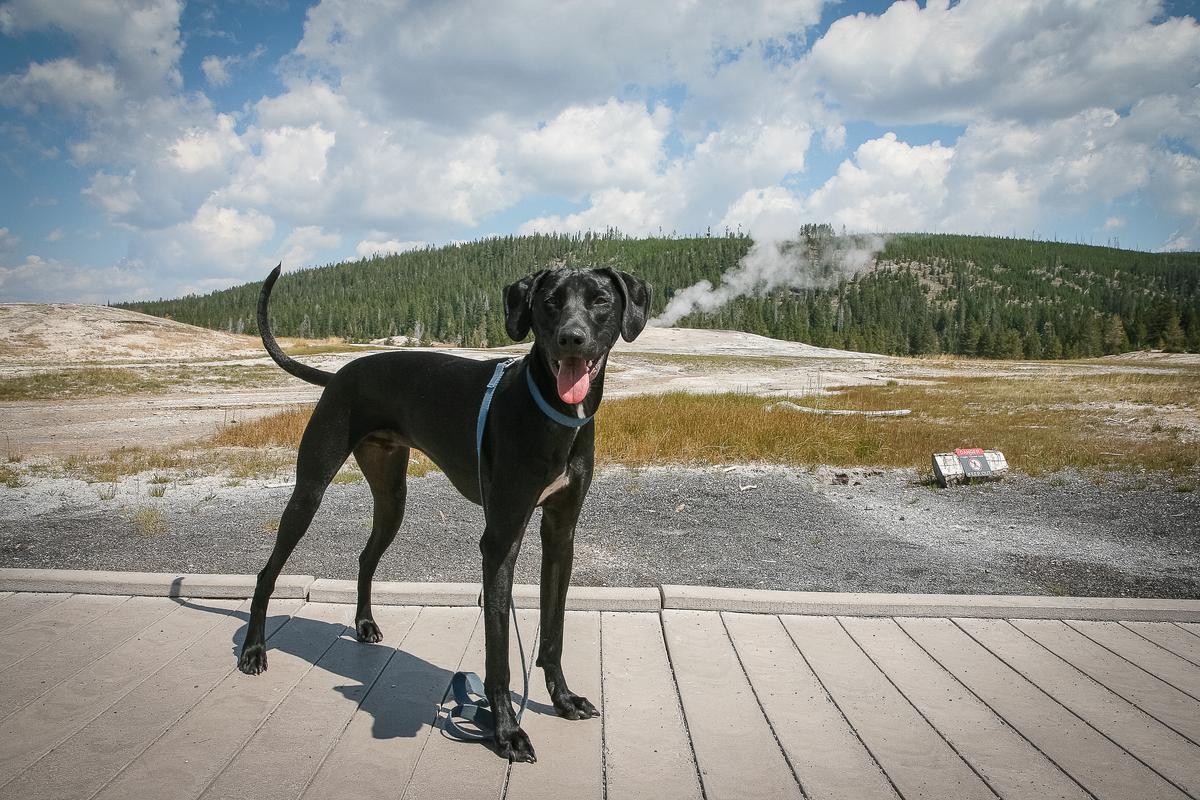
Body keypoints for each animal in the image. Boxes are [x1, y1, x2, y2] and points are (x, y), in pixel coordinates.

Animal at [235, 263, 648, 762]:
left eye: (600, 300)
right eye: (549, 302)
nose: (572, 338)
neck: (549, 411)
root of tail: (339, 374)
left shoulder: (560, 534)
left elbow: (553, 633)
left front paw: (563, 699)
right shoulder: (500, 540)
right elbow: (498, 656)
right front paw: (506, 732)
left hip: (392, 498)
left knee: (365, 558)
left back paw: (364, 624)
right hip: (309, 491)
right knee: (267, 572)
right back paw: (254, 650)